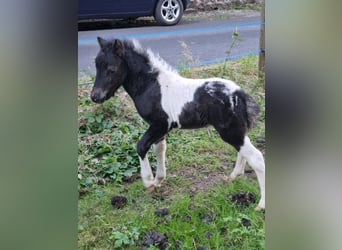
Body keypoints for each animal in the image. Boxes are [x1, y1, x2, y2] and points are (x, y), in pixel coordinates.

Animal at [90, 36, 264, 209]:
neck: (152, 86)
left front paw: (148, 181)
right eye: (96, 65)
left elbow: (141, 146)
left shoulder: (160, 124)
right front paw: (158, 180)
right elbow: (159, 149)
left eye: (111, 69)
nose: (95, 96)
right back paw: (234, 176)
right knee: (244, 151)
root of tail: (240, 94)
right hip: (236, 130)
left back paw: (260, 205)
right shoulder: (160, 129)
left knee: (256, 158)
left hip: (230, 131)